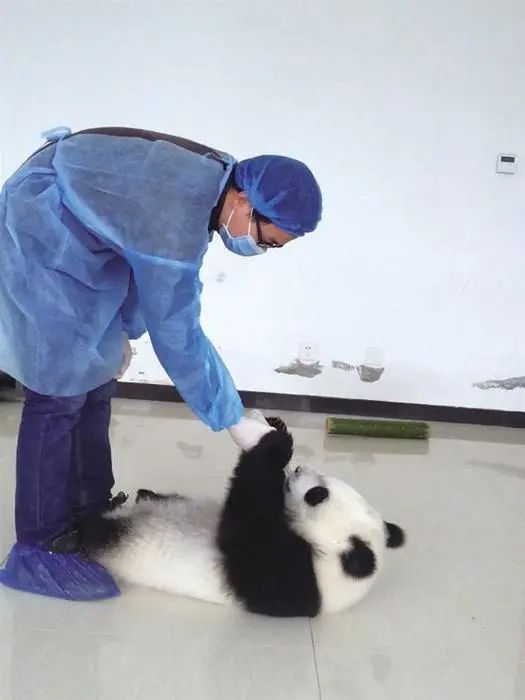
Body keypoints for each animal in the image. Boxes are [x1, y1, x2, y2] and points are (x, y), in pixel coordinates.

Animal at [80, 428, 405, 617]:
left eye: (317, 495)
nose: (298, 468)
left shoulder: (289, 580)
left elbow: (244, 523)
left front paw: (274, 446)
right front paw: (277, 429)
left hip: (130, 543)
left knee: (102, 534)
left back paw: (79, 530)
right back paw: (126, 498)